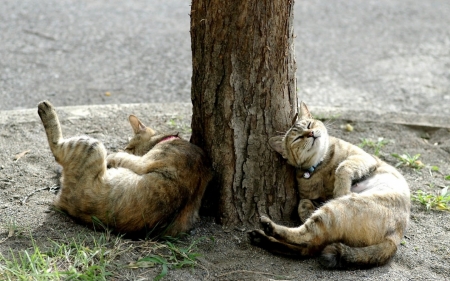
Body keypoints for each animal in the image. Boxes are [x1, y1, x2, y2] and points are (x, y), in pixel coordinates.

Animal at [37, 100, 212, 236]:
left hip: (92, 145)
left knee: (57, 149)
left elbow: (119, 157)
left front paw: (114, 155)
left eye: (130, 147)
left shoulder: (142, 162)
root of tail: (64, 203)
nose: (125, 148)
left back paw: (45, 108)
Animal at [250, 101, 412, 268]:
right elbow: (303, 203)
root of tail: (394, 239)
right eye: (298, 138)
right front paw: (309, 210)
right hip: (330, 215)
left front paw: (341, 189)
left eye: (309, 124)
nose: (310, 133)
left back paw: (267, 231)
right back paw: (264, 234)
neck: (322, 165)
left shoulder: (363, 157)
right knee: (308, 242)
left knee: (309, 241)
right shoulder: (313, 198)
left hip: (334, 210)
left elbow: (342, 167)